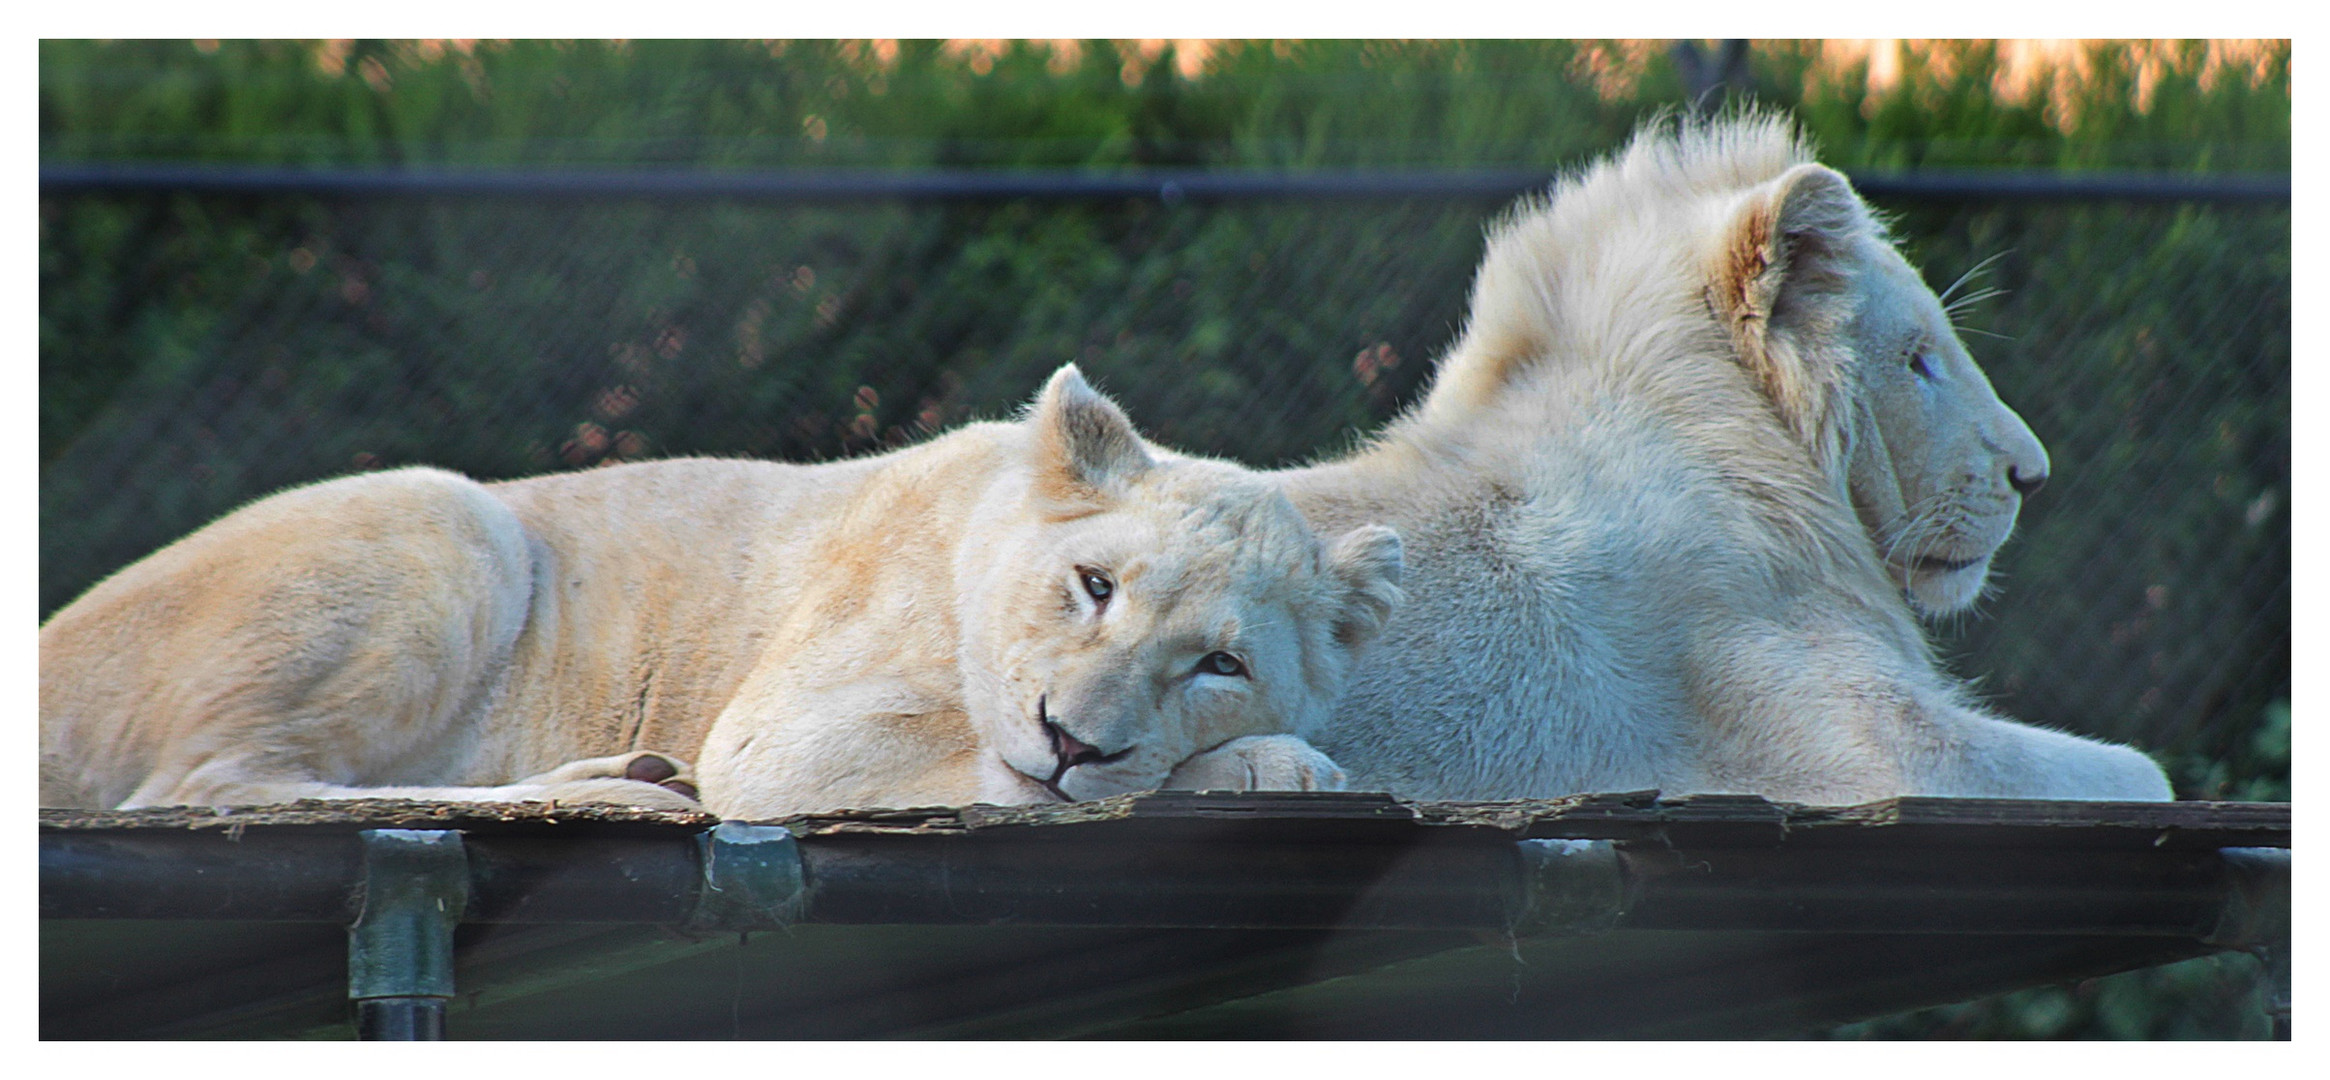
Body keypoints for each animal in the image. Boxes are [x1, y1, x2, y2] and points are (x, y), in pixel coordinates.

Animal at [41, 367, 1398, 814]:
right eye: (1093, 585)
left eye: (1220, 662)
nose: (1075, 738)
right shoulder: (781, 743)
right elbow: (1035, 790)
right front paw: (1276, 765)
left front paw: (1270, 760)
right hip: (452, 517)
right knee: (202, 785)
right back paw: (623, 788)